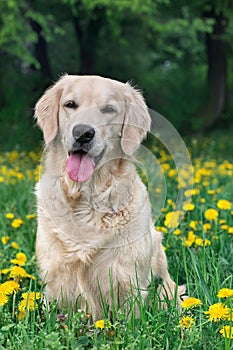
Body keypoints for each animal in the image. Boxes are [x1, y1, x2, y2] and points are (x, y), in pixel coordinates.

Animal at [34, 75, 185, 318]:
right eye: (70, 104)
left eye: (108, 109)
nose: (83, 133)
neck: (86, 197)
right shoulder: (56, 279)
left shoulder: (126, 279)